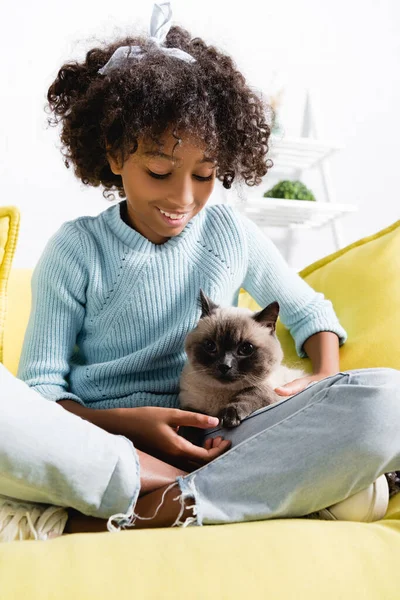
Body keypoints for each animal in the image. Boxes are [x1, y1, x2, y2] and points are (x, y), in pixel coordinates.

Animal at [179, 290, 306, 426]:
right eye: (210, 346)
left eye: (246, 349)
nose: (225, 366)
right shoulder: (190, 407)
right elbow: (188, 425)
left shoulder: (272, 391)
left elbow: (253, 393)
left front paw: (229, 417)